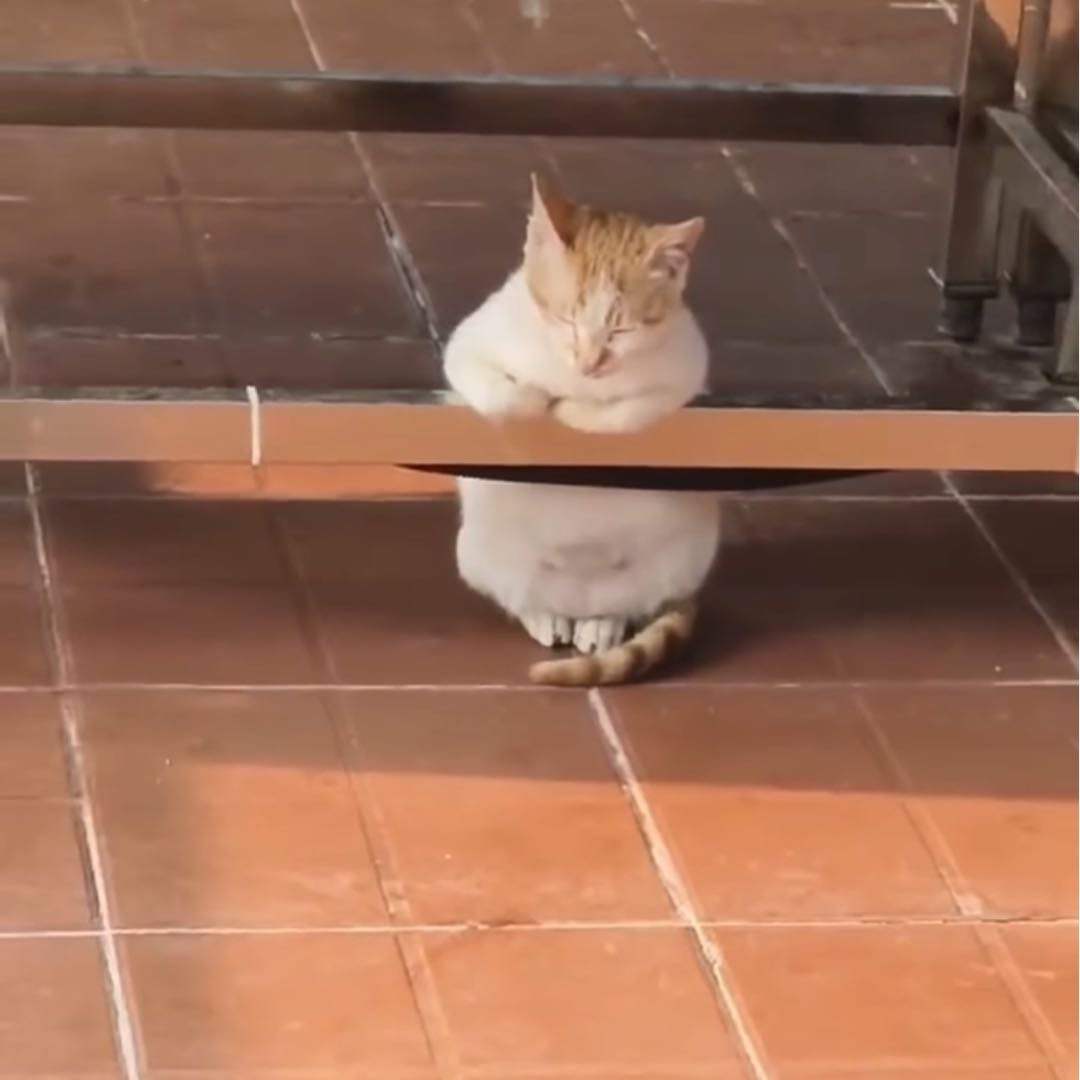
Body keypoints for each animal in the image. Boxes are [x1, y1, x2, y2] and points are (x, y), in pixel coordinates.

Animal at [444, 175, 720, 685]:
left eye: (621, 331)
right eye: (566, 317)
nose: (589, 363)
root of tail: (577, 599)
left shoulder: (686, 370)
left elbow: (625, 411)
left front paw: (573, 409)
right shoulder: (469, 343)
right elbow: (493, 386)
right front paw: (531, 398)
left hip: (682, 558)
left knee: (625, 606)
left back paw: (600, 625)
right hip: (476, 551)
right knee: (522, 597)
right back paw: (545, 616)